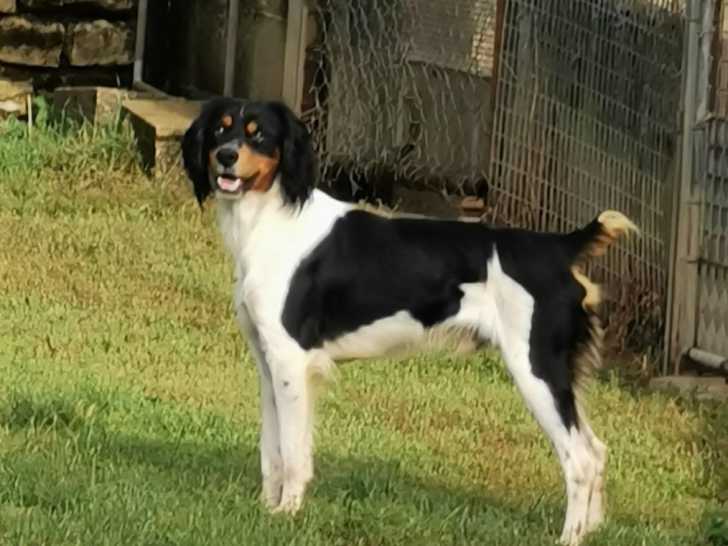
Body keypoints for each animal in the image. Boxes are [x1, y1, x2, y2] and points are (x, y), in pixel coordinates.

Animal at [181, 97, 637, 546]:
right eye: (221, 128)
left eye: (258, 134)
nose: (226, 156)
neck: (272, 221)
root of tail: (557, 247)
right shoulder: (269, 364)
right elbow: (271, 450)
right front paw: (266, 509)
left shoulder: (291, 362)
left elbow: (293, 453)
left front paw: (287, 513)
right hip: (560, 376)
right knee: (597, 451)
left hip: (535, 369)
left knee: (580, 459)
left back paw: (569, 537)